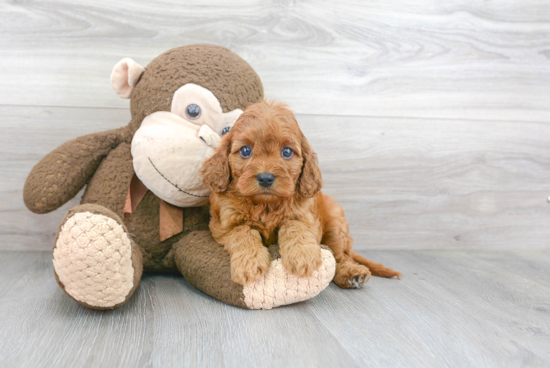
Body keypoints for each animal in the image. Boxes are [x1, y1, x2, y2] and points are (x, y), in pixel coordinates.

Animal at [199, 100, 402, 288]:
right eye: (245, 150)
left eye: (287, 152)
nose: (265, 178)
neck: (265, 205)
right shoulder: (224, 225)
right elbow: (243, 232)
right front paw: (249, 263)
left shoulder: (307, 218)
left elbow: (294, 225)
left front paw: (302, 255)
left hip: (335, 224)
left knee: (340, 256)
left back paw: (352, 273)